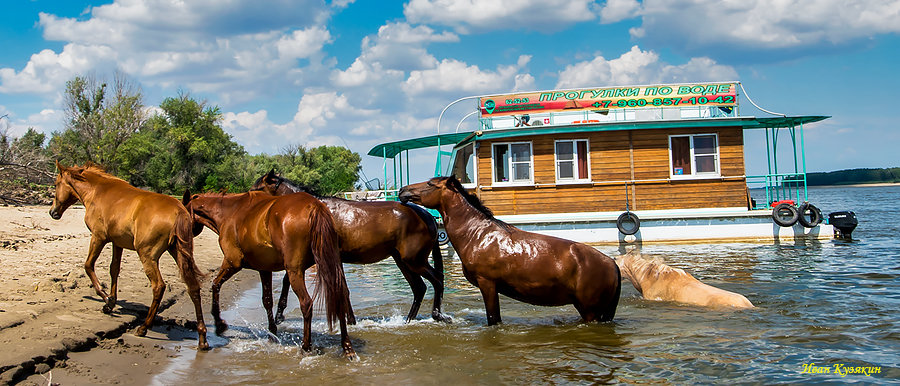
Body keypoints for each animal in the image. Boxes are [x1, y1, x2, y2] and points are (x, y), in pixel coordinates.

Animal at [50, 161, 209, 350]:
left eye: (56, 184)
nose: (53, 212)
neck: (97, 191)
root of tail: (179, 211)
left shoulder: (98, 237)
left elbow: (88, 266)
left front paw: (106, 299)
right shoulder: (117, 243)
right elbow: (114, 269)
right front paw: (111, 301)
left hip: (147, 255)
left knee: (159, 286)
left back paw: (143, 328)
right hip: (178, 253)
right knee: (193, 287)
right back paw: (202, 337)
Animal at [185, 190, 356, 358]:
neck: (230, 211)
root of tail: (314, 207)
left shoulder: (232, 263)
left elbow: (215, 285)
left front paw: (219, 323)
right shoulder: (264, 269)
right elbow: (267, 300)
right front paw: (272, 333)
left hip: (295, 271)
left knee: (306, 303)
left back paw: (306, 347)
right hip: (329, 264)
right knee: (339, 297)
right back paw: (347, 346)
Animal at [251, 170, 448, 324]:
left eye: (258, 189)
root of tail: (428, 216)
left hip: (414, 260)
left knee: (437, 280)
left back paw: (437, 315)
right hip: (403, 261)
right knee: (420, 288)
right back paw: (408, 320)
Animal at [398, 176, 624, 324]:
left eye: (430, 184)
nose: (402, 191)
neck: (478, 234)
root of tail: (612, 264)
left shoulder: (487, 284)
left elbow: (493, 319)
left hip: (590, 311)